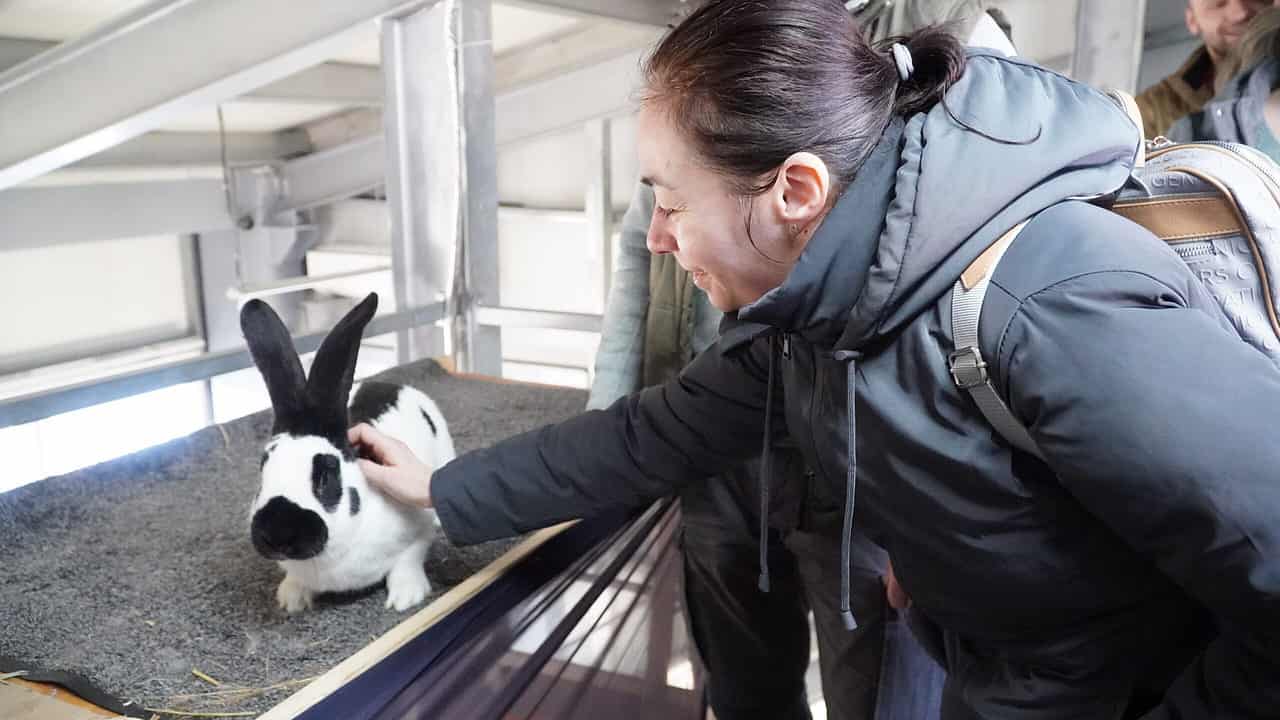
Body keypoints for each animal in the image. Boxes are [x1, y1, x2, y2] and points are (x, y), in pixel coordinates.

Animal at [240, 292, 455, 609]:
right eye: (262, 472)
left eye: (325, 477)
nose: (277, 533)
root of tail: (389, 384)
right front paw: (292, 599)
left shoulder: (417, 531)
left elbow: (410, 558)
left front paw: (406, 596)